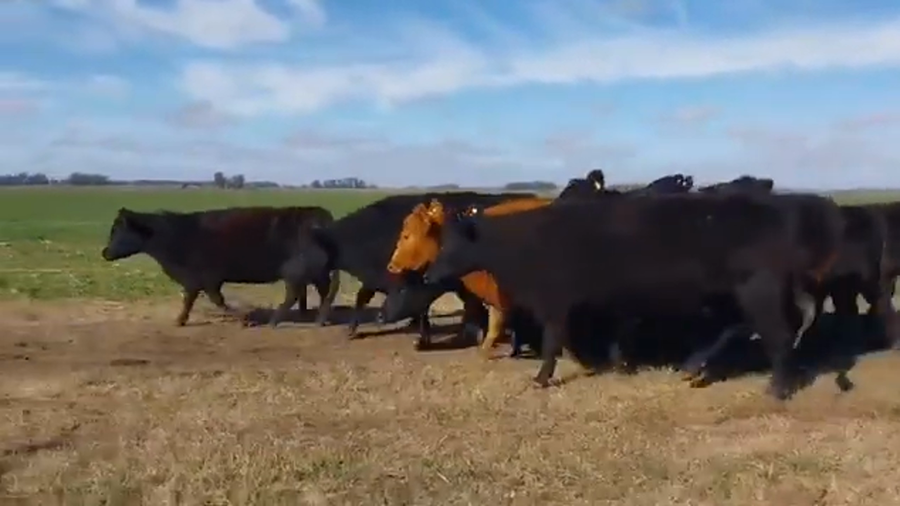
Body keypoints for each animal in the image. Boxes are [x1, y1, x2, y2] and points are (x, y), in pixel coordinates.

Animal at [100, 206, 340, 327]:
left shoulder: (200, 278)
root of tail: (319, 215)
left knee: (296, 293)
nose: (105, 252)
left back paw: (277, 321)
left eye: (117, 230)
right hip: (315, 271)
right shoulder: (204, 280)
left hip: (297, 270)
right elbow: (203, 299)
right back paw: (319, 319)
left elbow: (208, 300)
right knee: (322, 291)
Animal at [283, 191, 537, 349]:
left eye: (304, 251)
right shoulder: (380, 280)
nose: (287, 269)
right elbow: (362, 299)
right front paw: (353, 329)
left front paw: (425, 338)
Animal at [422, 192, 845, 400]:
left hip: (759, 290)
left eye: (453, 245)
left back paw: (776, 388)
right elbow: (594, 337)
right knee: (740, 327)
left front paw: (543, 378)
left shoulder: (554, 302)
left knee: (776, 336)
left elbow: (554, 342)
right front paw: (608, 364)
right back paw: (694, 366)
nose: (428, 274)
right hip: (740, 292)